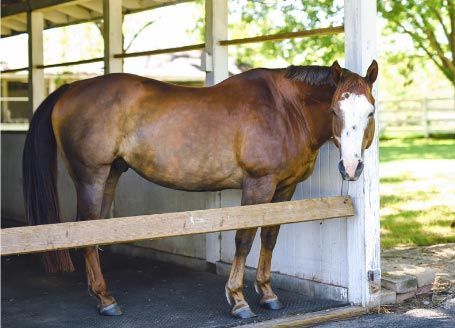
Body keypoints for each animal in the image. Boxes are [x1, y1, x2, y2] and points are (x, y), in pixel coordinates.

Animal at [22, 60, 378, 320]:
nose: (351, 167)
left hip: (110, 175)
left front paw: (267, 294)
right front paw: (238, 300)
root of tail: (71, 88)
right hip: (91, 177)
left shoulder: (284, 188)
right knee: (84, 229)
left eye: (370, 112)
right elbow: (244, 239)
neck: (286, 109)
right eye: (334, 110)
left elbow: (270, 236)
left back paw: (101, 294)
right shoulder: (258, 185)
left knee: (95, 230)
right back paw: (105, 299)